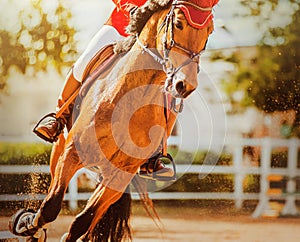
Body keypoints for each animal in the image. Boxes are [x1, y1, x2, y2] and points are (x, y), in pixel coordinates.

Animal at [8, 0, 218, 240]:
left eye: (209, 31)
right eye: (178, 23)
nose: (185, 86)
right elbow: (51, 207)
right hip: (60, 148)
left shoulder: (120, 175)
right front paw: (25, 223)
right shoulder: (71, 152)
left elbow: (82, 221)